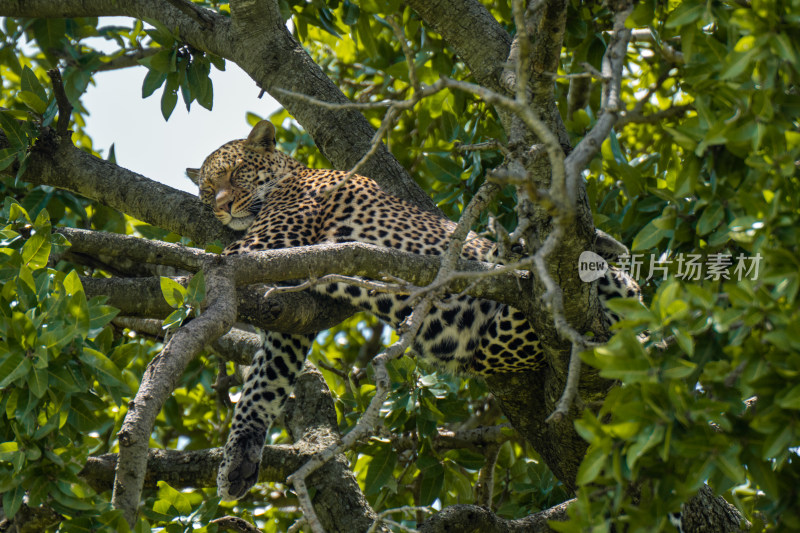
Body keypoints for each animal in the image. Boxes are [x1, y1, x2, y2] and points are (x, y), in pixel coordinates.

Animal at [184, 119, 640, 502]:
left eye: (235, 172)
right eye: (205, 191)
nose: (220, 207)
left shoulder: (264, 246)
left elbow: (197, 270)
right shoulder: (288, 318)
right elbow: (263, 385)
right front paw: (238, 459)